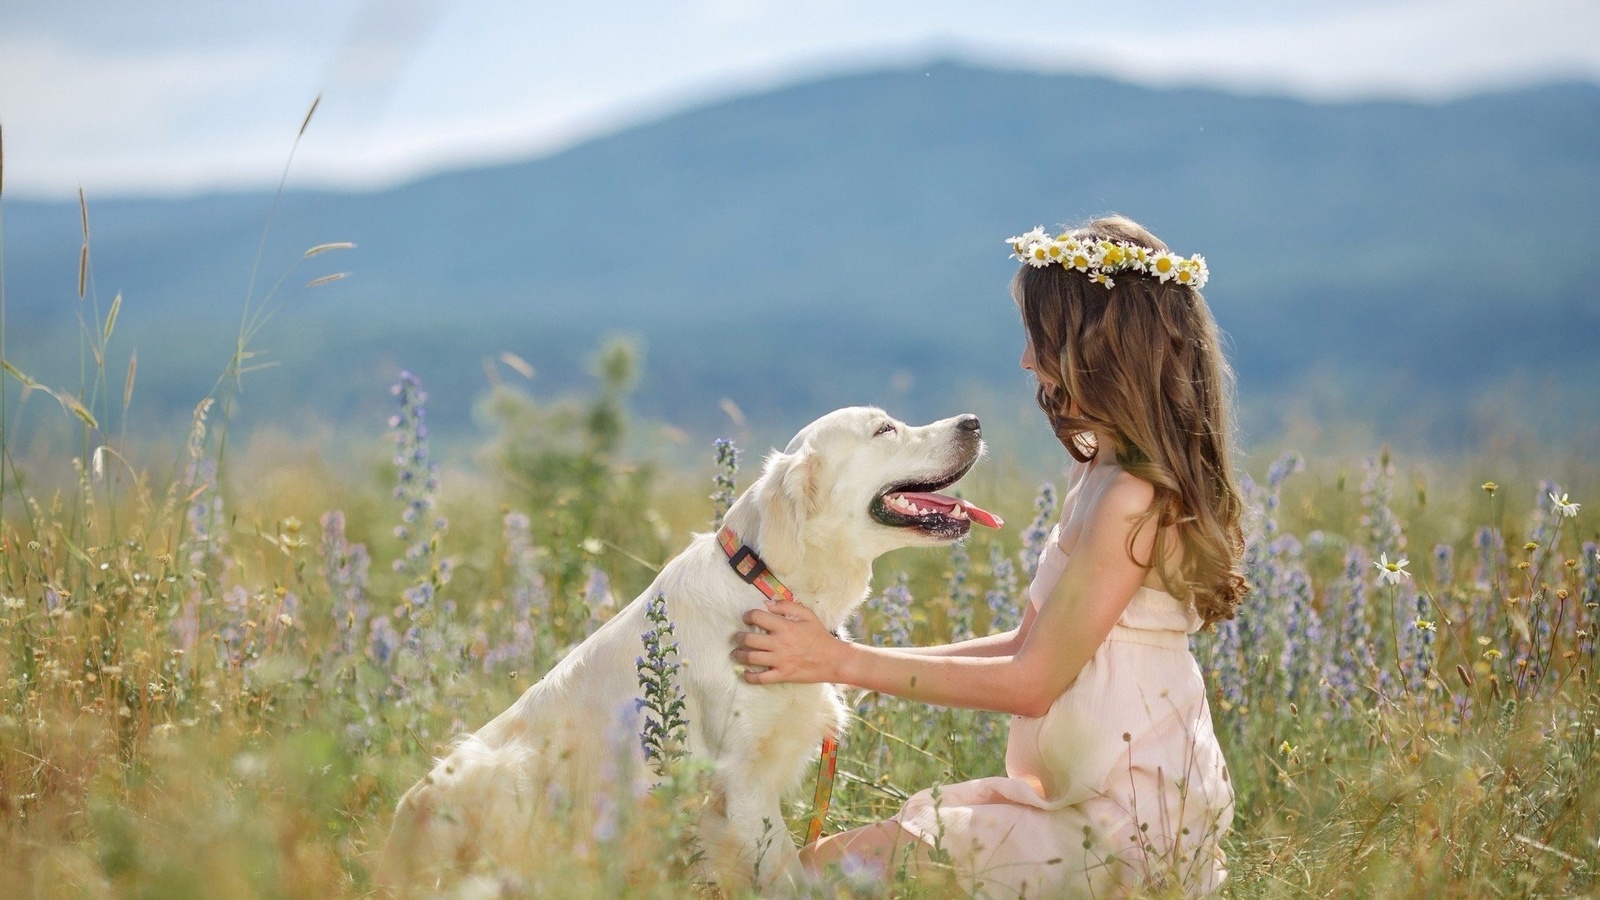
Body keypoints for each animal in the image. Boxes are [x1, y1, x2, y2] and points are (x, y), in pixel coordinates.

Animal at [377, 406, 998, 890]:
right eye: (884, 430)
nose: (973, 421)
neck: (767, 582)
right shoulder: (741, 783)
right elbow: (786, 872)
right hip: (504, 772)